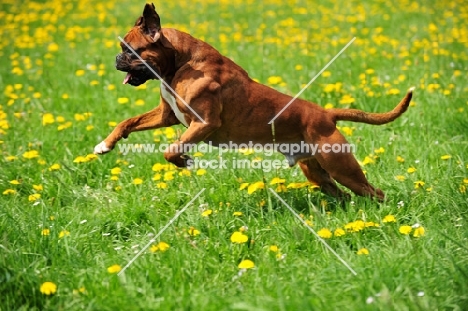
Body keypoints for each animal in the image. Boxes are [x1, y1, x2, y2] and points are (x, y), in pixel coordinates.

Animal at [94, 3, 414, 202]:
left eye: (129, 49)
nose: (116, 58)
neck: (180, 62)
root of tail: (326, 113)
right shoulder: (167, 116)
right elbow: (127, 122)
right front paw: (104, 145)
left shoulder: (204, 122)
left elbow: (170, 151)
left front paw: (185, 161)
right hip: (317, 172)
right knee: (343, 194)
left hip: (341, 167)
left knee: (374, 193)